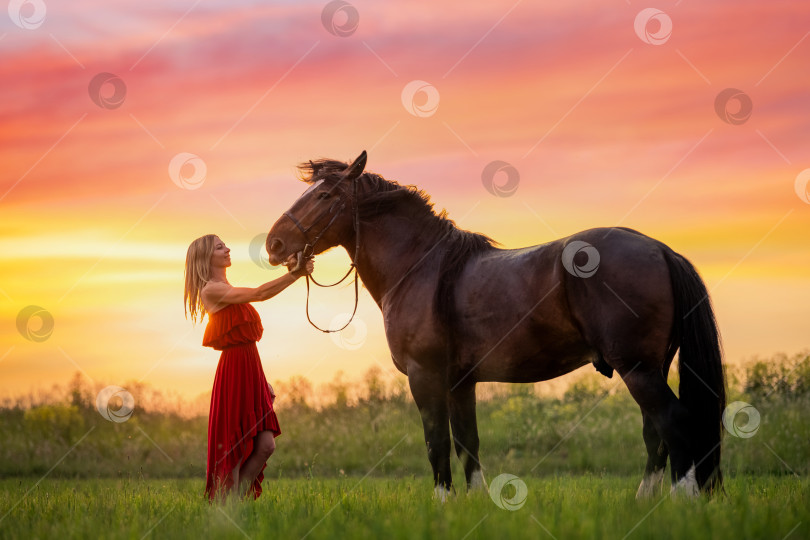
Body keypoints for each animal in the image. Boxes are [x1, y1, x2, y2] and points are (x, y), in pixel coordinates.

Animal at [266, 150, 724, 500]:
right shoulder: (460, 383)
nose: (275, 244)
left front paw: (444, 505)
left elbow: (437, 444)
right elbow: (468, 445)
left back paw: (682, 501)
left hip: (638, 370)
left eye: (325, 194)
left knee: (673, 423)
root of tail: (660, 250)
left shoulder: (425, 377)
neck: (422, 267)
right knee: (655, 434)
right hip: (649, 368)